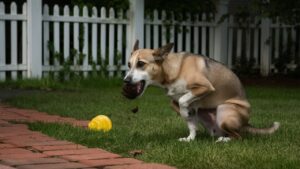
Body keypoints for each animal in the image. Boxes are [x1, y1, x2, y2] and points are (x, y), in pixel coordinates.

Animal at [122, 40, 278, 142]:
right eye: (129, 64)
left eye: (141, 64)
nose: (126, 80)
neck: (172, 71)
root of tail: (245, 123)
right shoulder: (174, 101)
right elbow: (187, 117)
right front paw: (190, 132)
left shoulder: (205, 87)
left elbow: (183, 100)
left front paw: (185, 111)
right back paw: (195, 138)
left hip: (224, 110)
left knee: (238, 137)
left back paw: (224, 140)